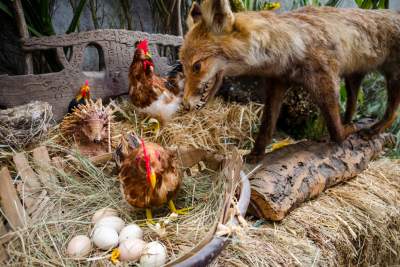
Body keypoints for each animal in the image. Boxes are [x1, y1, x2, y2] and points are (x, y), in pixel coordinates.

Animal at [180, 0, 400, 163]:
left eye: (197, 67)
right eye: (182, 65)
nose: (184, 105)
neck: (291, 45)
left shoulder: (326, 79)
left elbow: (336, 131)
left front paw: (346, 134)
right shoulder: (277, 83)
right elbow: (266, 126)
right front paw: (256, 154)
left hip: (393, 78)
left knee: (392, 112)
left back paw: (373, 130)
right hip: (354, 76)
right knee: (353, 104)